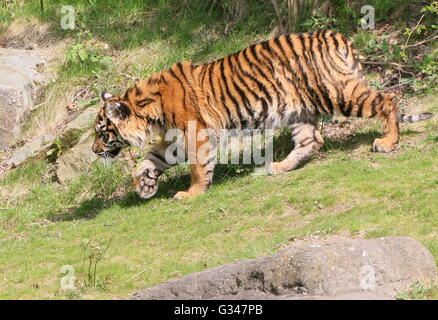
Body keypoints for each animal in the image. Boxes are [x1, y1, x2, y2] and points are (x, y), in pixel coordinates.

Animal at [91, 30, 432, 200]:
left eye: (102, 132)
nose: (94, 151)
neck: (148, 110)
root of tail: (335, 35)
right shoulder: (176, 138)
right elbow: (151, 160)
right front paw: (145, 185)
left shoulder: (196, 132)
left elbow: (198, 168)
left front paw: (191, 194)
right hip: (299, 110)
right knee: (312, 140)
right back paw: (279, 167)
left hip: (338, 92)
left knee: (388, 100)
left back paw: (387, 143)